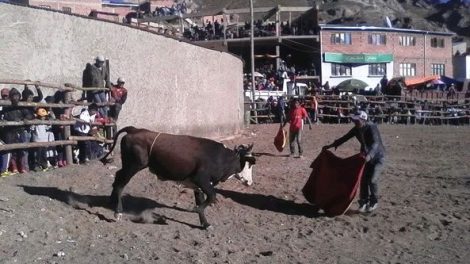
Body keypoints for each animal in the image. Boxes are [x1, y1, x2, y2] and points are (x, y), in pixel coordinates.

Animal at [100, 126, 258, 229]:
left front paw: (205, 224)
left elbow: (201, 199)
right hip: (134, 165)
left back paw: (111, 201)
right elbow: (211, 197)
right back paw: (118, 212)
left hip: (129, 166)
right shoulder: (201, 180)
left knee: (117, 178)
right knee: (120, 183)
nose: (250, 182)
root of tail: (134, 129)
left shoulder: (198, 185)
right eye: (249, 165)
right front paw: (197, 210)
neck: (221, 158)